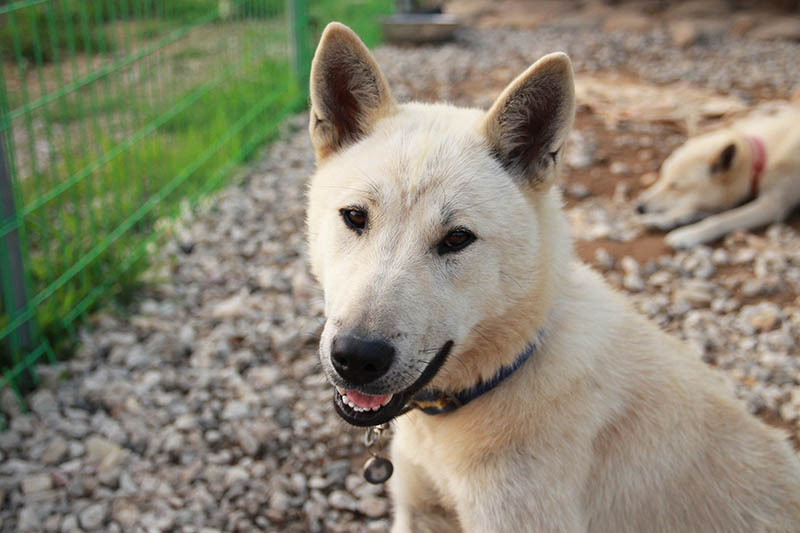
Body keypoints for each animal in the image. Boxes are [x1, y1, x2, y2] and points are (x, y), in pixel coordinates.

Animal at [636, 103, 800, 249]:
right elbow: (688, 211)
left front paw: (688, 234)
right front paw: (661, 219)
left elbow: (719, 219)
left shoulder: (772, 206)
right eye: (662, 177)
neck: (759, 157)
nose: (639, 207)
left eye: (675, 186)